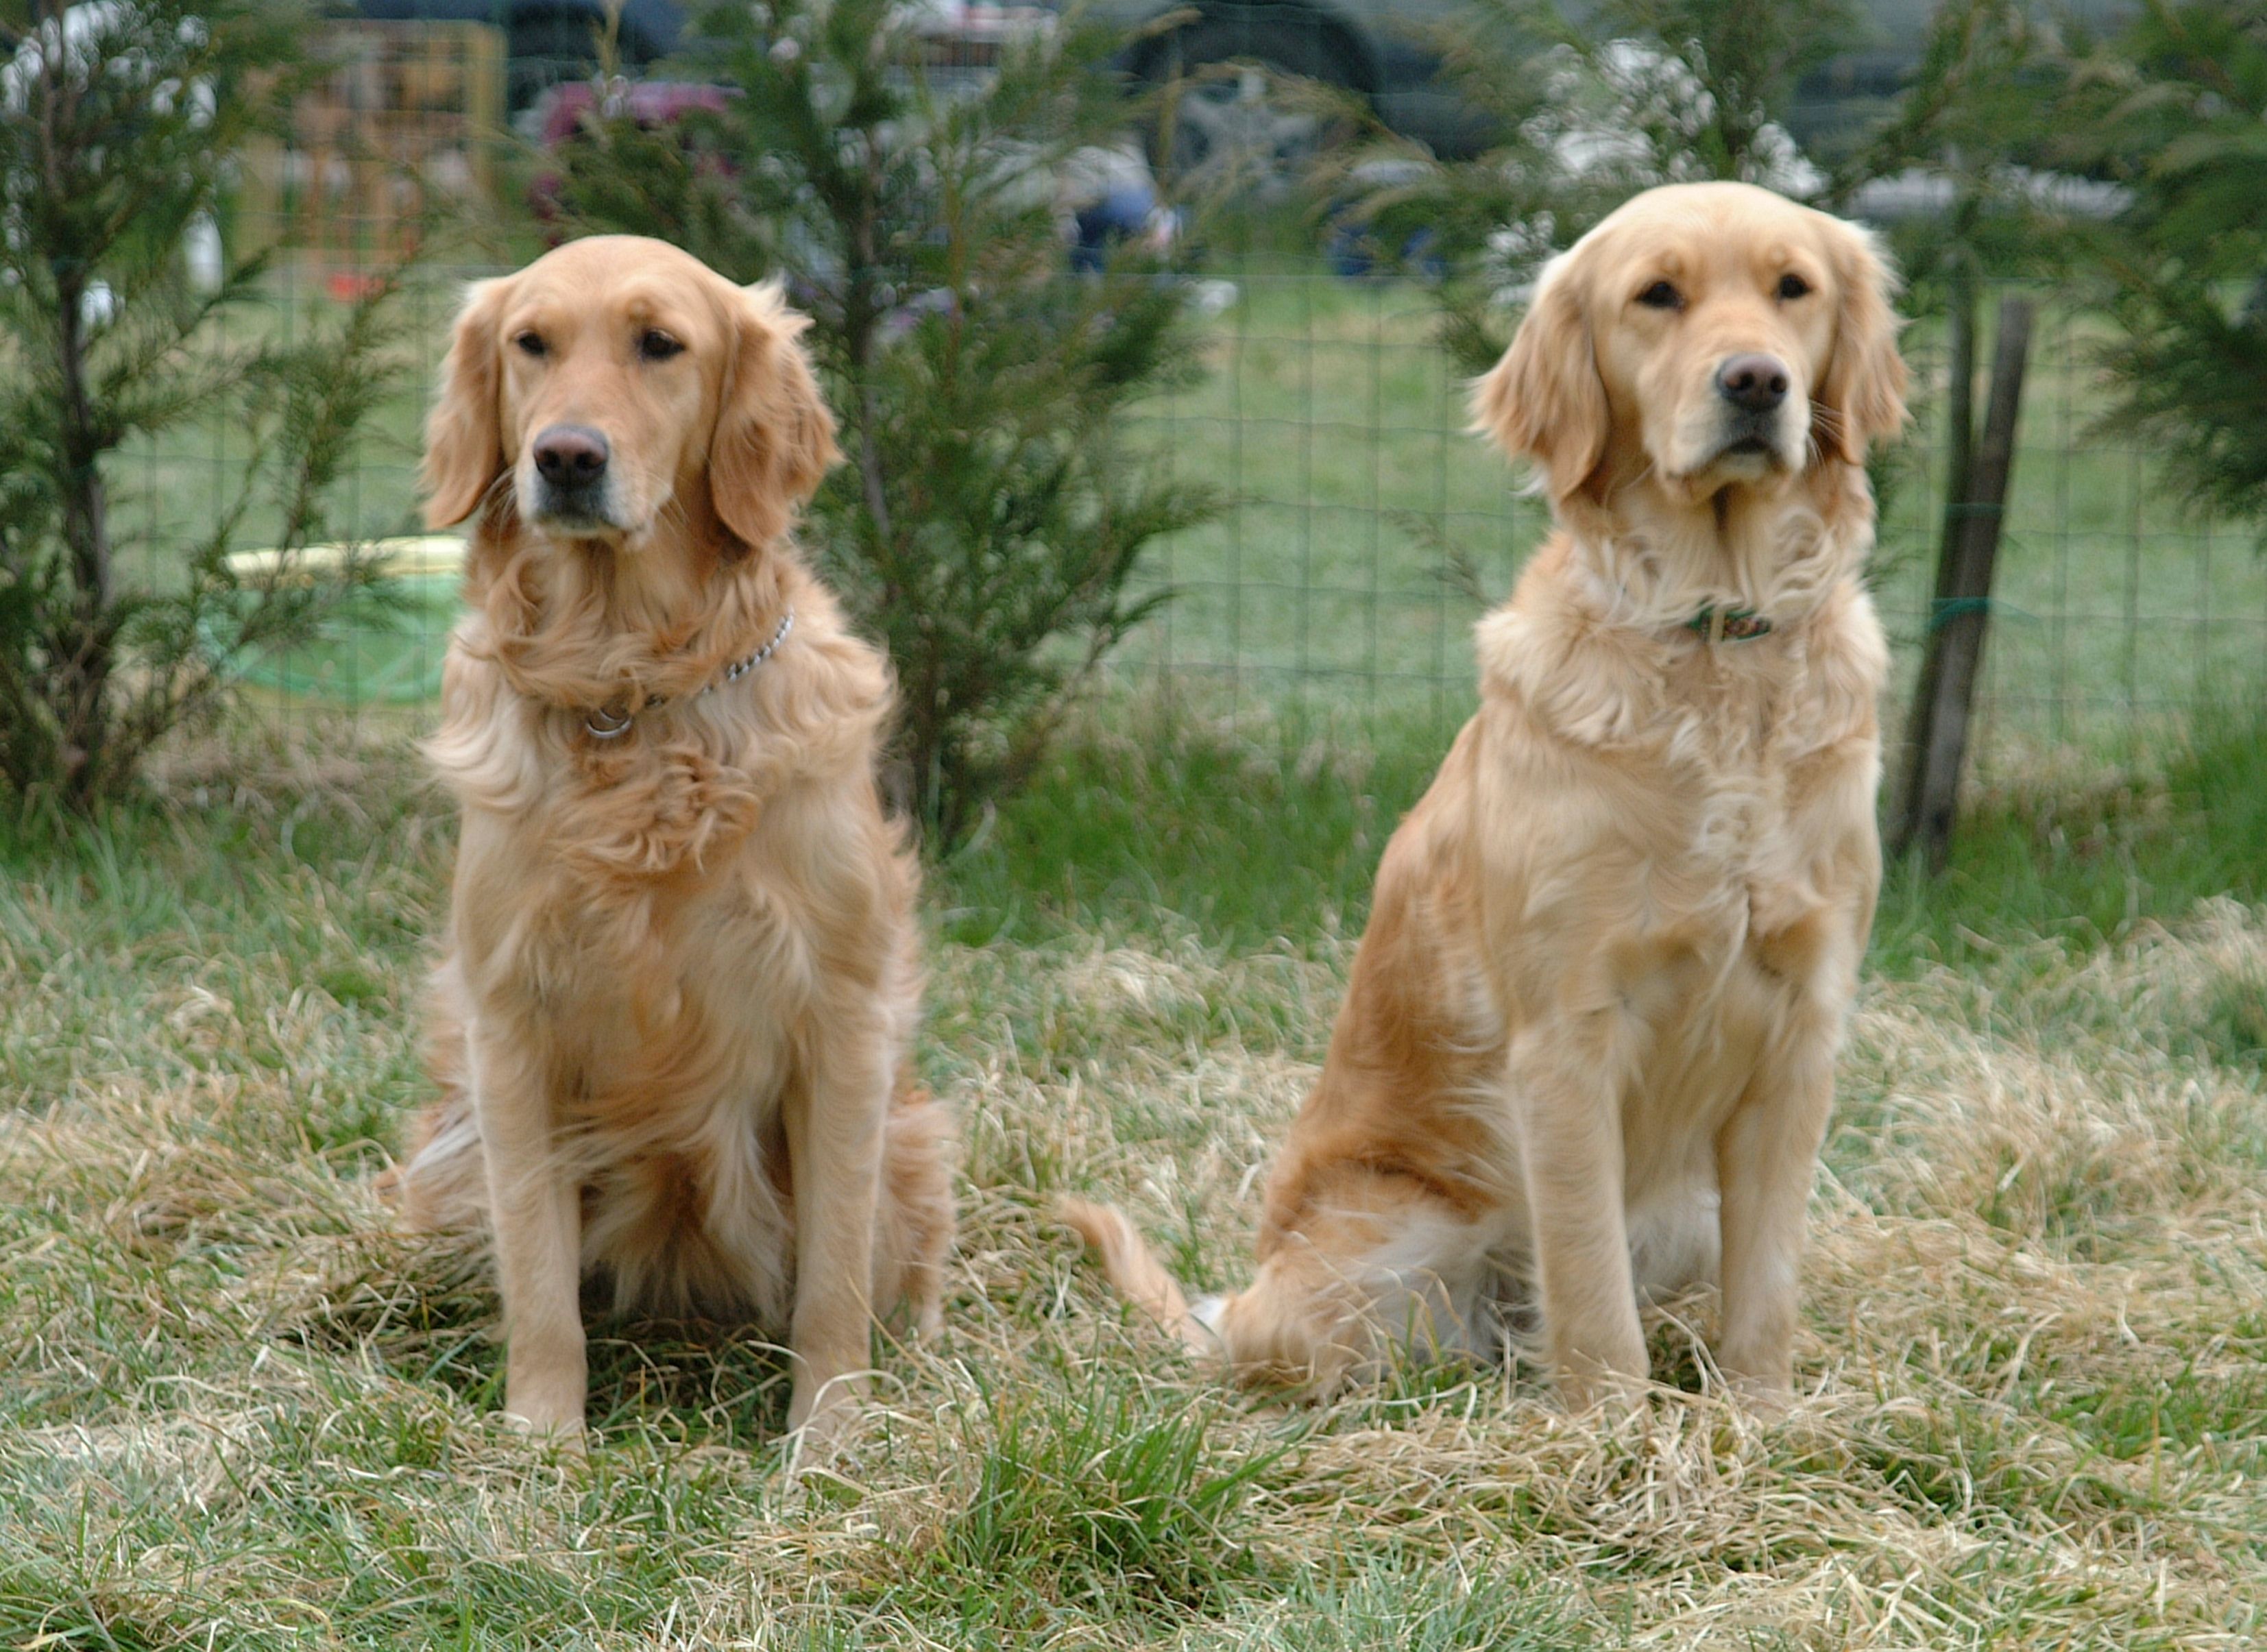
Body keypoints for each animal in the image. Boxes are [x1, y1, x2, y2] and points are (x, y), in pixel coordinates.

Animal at [392, 235, 956, 1441]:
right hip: (445, 1144)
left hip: (913, 1139)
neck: (630, 695)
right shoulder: (508, 1027)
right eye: (531, 343)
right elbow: (538, 1274)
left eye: (660, 344)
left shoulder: (841, 1020)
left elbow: (833, 1273)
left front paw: (830, 1438)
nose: (564, 456)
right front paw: (541, 1439)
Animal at [1056, 183, 1895, 1413]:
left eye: (1793, 289)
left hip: (1687, 1215)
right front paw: (1613, 1433)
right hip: (1371, 1258)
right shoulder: (1566, 1035)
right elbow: (1589, 1289)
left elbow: (1767, 1286)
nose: (1754, 382)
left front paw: (1763, 1420)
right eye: (1656, 295)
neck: (1710, 641)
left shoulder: (1802, 1025)